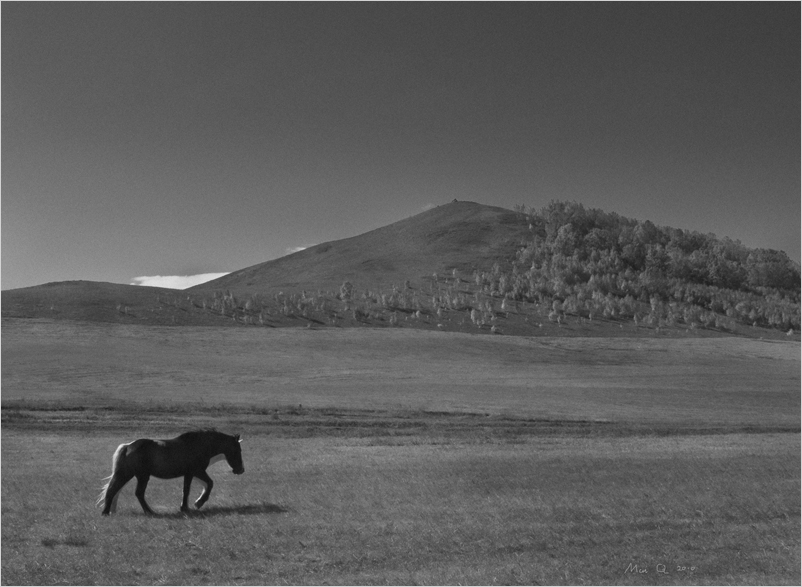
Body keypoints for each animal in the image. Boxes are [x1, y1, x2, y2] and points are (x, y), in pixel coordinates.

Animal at [96, 430, 242, 516]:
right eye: (238, 450)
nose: (241, 470)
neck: (198, 445)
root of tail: (127, 446)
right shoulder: (197, 471)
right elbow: (209, 484)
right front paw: (198, 503)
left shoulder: (190, 474)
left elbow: (187, 490)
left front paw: (185, 507)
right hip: (138, 476)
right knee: (126, 491)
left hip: (132, 475)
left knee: (117, 490)